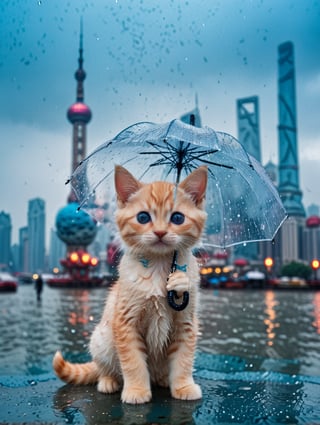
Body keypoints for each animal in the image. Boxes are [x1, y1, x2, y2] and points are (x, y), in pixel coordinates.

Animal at [52, 164, 208, 402]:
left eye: (178, 218)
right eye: (143, 217)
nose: (160, 232)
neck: (159, 267)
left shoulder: (186, 324)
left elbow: (183, 359)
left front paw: (183, 386)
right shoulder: (126, 322)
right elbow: (133, 362)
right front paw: (136, 390)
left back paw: (164, 380)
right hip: (102, 339)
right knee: (103, 368)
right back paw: (109, 381)